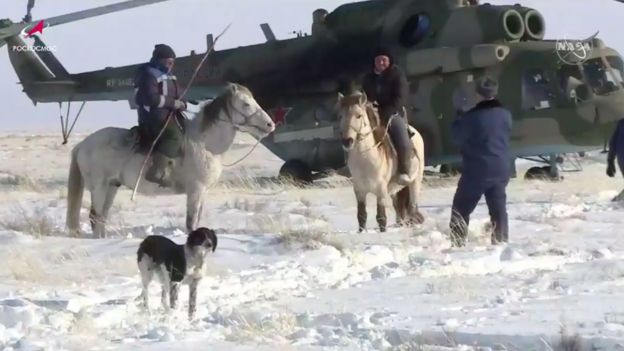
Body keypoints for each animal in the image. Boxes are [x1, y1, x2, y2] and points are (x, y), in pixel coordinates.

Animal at [65, 83, 276, 238]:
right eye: (246, 104)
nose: (270, 124)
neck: (204, 143)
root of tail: (83, 144)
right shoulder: (195, 190)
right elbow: (191, 222)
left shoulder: (203, 192)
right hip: (99, 187)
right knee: (95, 216)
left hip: (111, 186)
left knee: (102, 217)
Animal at [336, 92, 424, 232]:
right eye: (340, 116)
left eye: (358, 115)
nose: (347, 141)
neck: (365, 161)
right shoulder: (359, 191)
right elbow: (361, 216)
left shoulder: (380, 191)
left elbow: (381, 218)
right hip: (394, 190)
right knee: (398, 208)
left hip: (415, 182)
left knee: (412, 208)